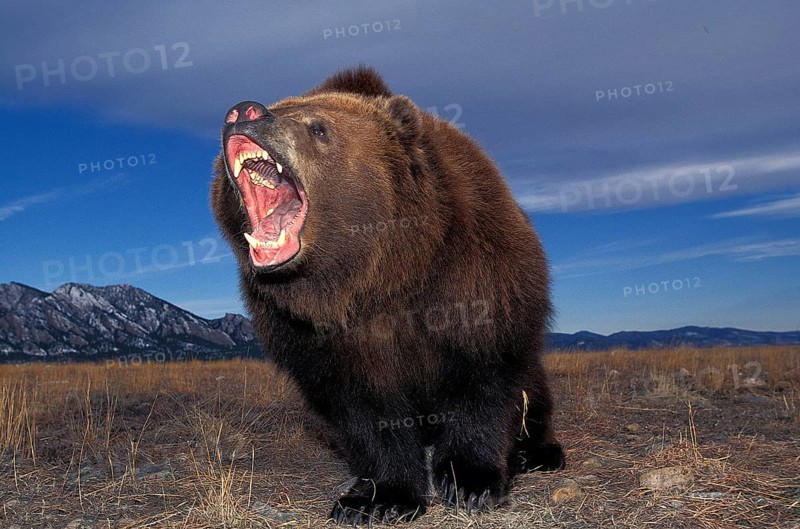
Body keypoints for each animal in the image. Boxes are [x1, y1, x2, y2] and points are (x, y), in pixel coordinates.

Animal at [210, 66, 564, 525]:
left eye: (318, 128)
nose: (244, 112)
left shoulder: (473, 278)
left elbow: (483, 379)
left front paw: (472, 483)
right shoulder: (311, 337)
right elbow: (365, 412)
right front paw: (377, 499)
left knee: (532, 392)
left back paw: (535, 453)